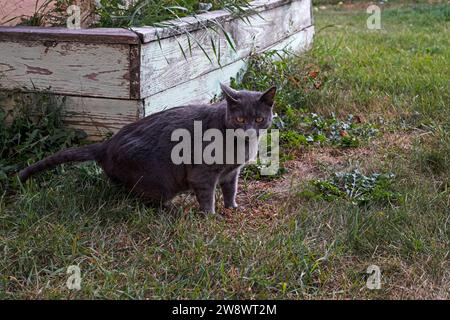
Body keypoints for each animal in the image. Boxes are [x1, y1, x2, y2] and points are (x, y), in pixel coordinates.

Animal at [19, 84, 276, 215]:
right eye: (240, 119)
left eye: (259, 119)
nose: (250, 131)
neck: (239, 145)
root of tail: (106, 145)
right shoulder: (202, 174)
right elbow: (207, 196)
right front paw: (210, 217)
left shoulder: (232, 172)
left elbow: (230, 190)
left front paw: (233, 207)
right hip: (158, 181)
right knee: (137, 196)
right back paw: (170, 209)